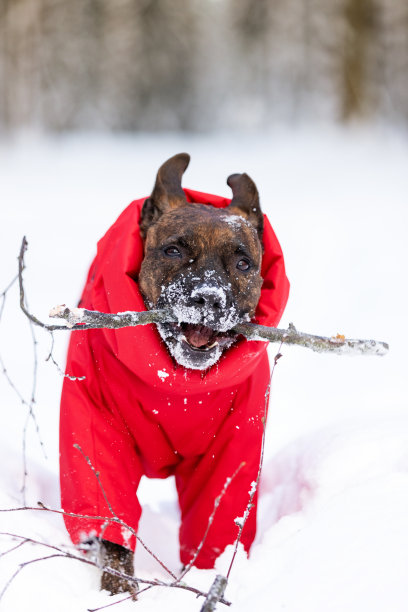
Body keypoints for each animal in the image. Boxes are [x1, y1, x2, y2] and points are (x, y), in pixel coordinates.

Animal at [59, 152, 290, 592]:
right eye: (172, 251)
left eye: (243, 263)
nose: (209, 299)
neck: (175, 387)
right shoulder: (97, 428)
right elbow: (110, 519)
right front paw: (120, 589)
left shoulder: (231, 452)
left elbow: (214, 524)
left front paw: (201, 579)